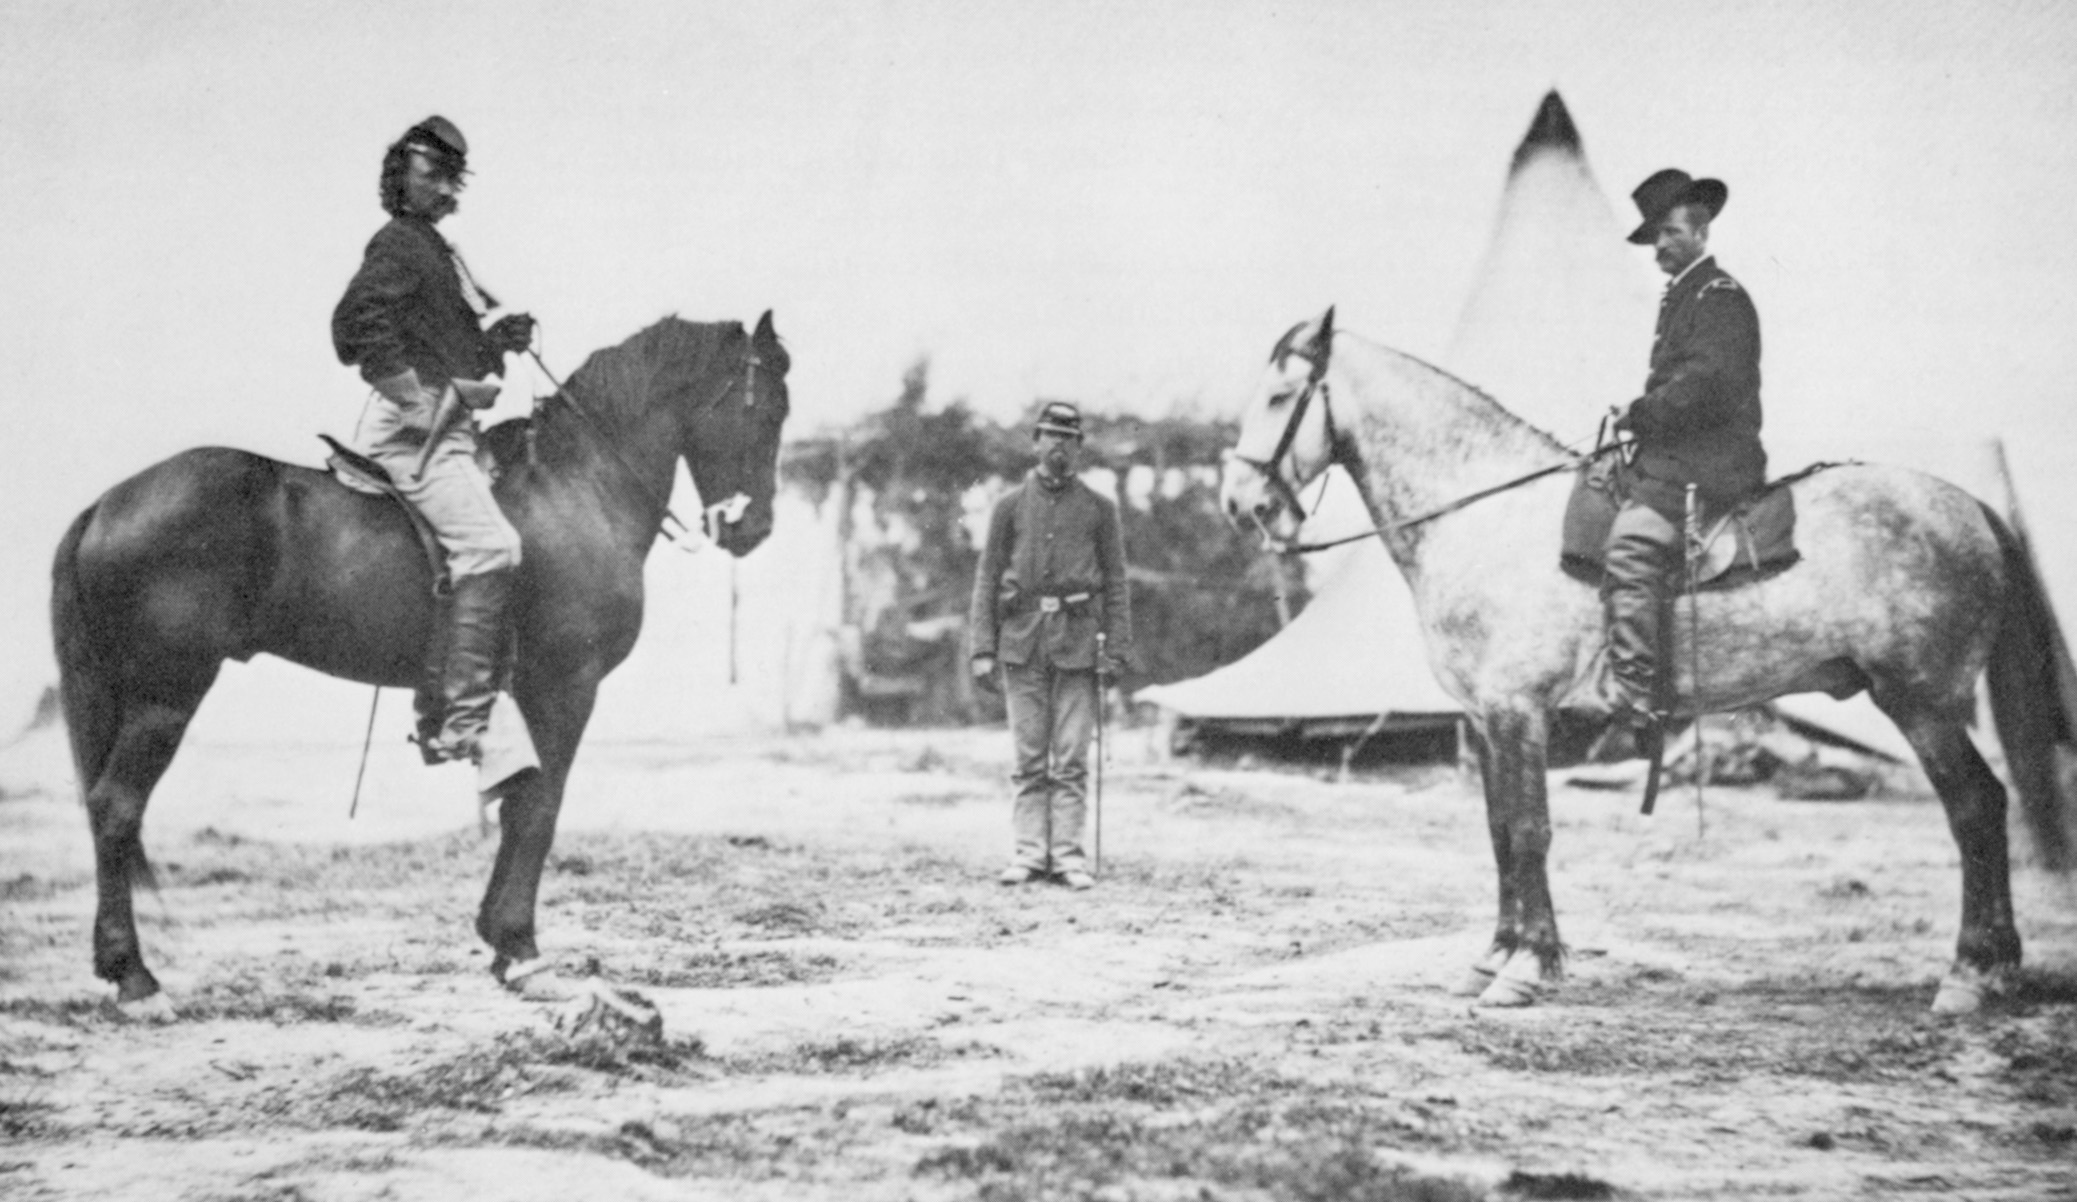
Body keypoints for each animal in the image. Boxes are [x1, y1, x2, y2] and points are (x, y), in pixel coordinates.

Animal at [50, 313, 793, 1004]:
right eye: (765, 409)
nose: (753, 528)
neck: (573, 486)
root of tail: (105, 505)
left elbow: (515, 805)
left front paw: (498, 941)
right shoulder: (564, 686)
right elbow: (538, 807)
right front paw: (520, 948)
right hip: (166, 697)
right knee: (116, 806)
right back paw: (133, 975)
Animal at [1212, 305, 2077, 1013]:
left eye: (1281, 398)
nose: (1238, 504)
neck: (1484, 513)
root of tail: (1970, 506)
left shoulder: (1517, 710)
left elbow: (1528, 829)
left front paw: (1526, 967)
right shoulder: (1486, 720)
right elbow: (1498, 832)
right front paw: (1496, 956)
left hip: (1919, 703)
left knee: (1975, 808)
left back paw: (1968, 975)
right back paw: (1994, 970)